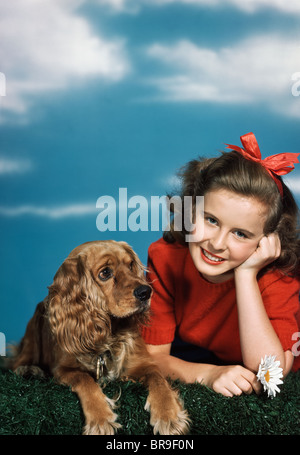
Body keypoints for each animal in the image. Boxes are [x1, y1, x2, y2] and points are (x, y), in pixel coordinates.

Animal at [12, 240, 190, 436]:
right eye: (105, 273)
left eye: (130, 265)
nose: (146, 292)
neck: (110, 335)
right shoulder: (63, 369)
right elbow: (85, 380)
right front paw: (100, 419)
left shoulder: (145, 363)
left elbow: (158, 380)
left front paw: (168, 415)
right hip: (34, 328)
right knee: (17, 361)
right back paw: (29, 369)